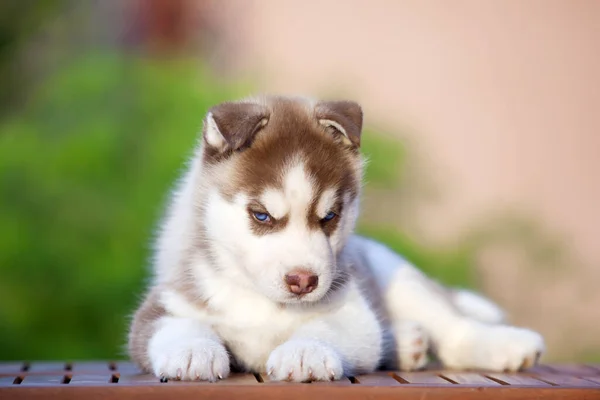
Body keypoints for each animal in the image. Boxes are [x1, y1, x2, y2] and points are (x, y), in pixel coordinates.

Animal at [129, 94, 548, 382]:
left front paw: (305, 353)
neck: (264, 302)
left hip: (396, 274)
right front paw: (190, 351)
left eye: (329, 216)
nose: (303, 281)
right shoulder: (164, 302)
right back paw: (407, 342)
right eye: (261, 215)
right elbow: (177, 325)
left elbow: (324, 328)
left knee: (454, 328)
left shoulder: (352, 312)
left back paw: (508, 345)